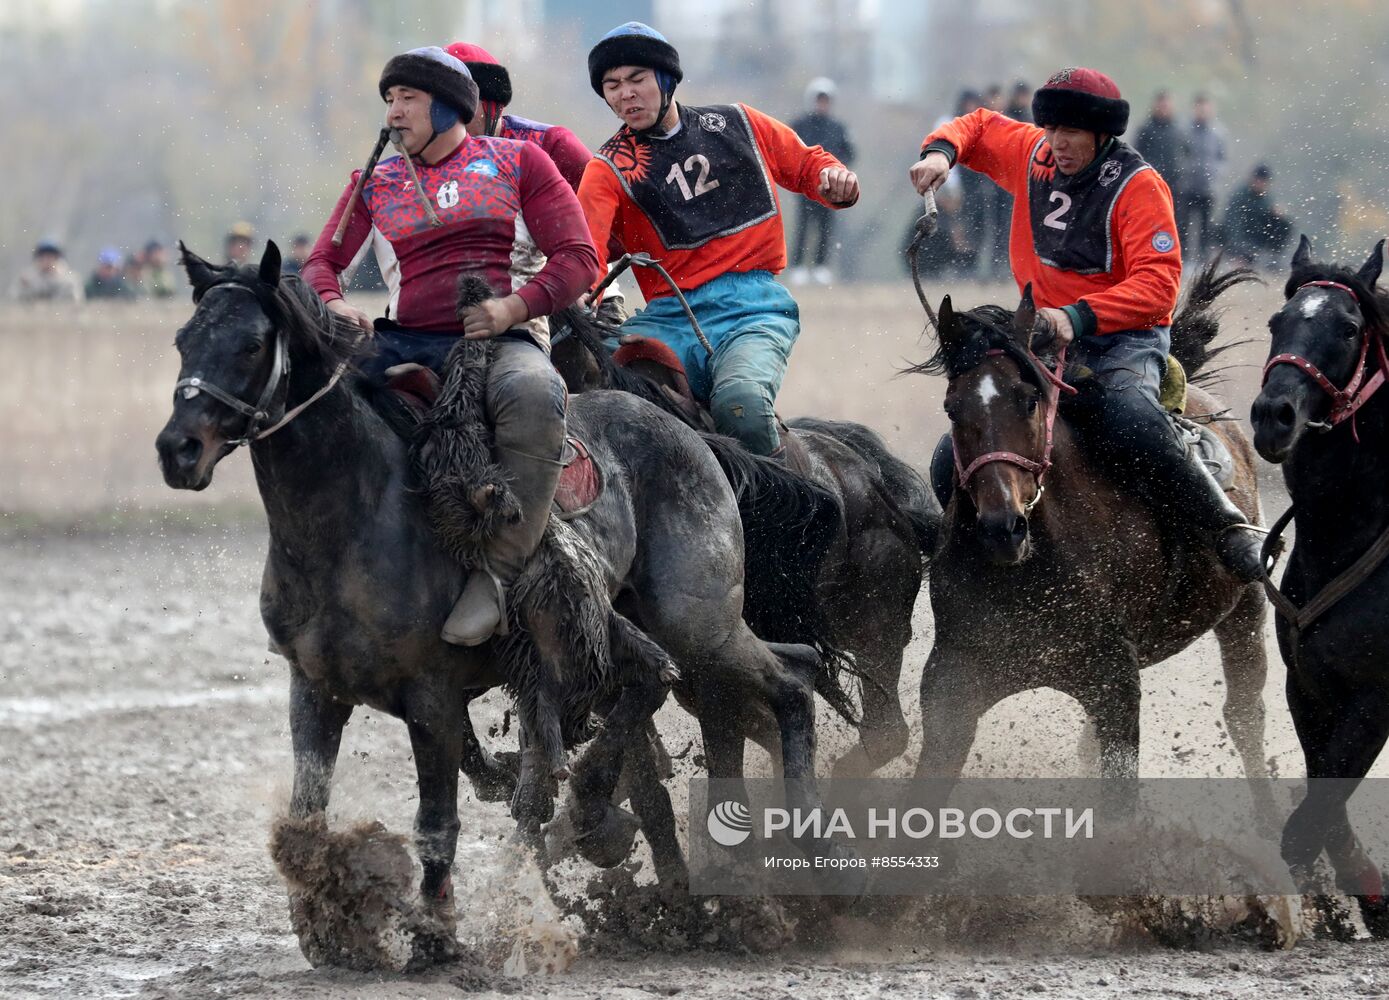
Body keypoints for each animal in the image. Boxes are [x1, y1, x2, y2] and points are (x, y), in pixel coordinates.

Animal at [161, 244, 850, 961]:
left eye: (251, 344)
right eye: (184, 341)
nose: (178, 448)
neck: (355, 518)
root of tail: (695, 439)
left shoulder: (432, 695)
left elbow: (438, 820)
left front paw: (436, 935)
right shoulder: (316, 687)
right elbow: (307, 814)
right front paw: (328, 929)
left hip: (696, 621)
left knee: (772, 683)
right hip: (638, 628)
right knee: (733, 675)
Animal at [911, 263, 1277, 827]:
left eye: (1029, 398)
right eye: (953, 407)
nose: (1002, 527)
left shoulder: (1114, 683)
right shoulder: (952, 682)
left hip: (1245, 609)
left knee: (1244, 716)